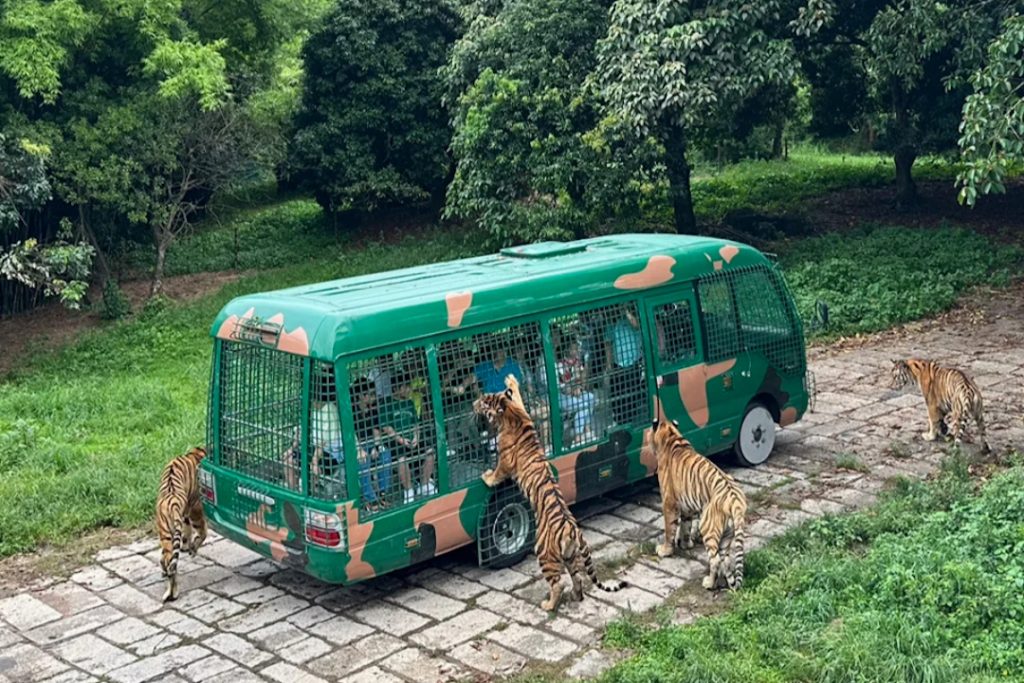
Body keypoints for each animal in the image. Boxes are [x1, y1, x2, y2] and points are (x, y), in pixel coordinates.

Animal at [156, 446, 208, 602]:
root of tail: (172, 503)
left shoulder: (185, 515)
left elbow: (186, 533)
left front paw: (186, 546)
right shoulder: (196, 507)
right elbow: (202, 532)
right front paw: (192, 549)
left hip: (165, 534)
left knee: (169, 563)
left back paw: (170, 591)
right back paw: (173, 593)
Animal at [472, 376, 626, 611]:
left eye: (485, 402)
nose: (473, 403)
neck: (510, 414)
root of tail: (572, 530)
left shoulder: (505, 462)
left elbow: (497, 473)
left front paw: (486, 476)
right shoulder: (523, 410)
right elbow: (518, 395)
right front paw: (511, 380)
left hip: (544, 552)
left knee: (558, 583)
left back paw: (548, 605)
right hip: (570, 556)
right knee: (578, 578)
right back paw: (575, 597)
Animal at [651, 417, 747, 590]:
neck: (673, 437)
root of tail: (735, 501)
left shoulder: (669, 503)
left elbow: (669, 529)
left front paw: (665, 550)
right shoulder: (686, 507)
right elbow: (686, 525)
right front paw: (685, 544)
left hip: (708, 527)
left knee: (715, 560)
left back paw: (709, 583)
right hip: (728, 534)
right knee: (725, 559)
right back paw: (722, 581)